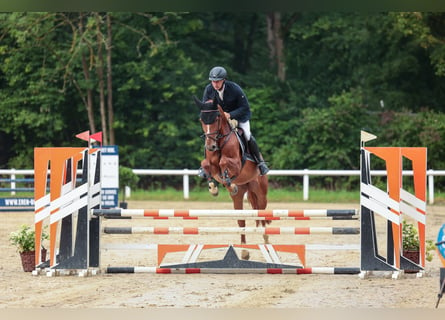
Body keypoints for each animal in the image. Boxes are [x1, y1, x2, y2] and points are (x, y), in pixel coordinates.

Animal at [194, 96, 270, 258]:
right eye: (201, 119)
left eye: (216, 118)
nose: (210, 146)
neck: (219, 141)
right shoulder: (211, 164)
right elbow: (206, 166)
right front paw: (213, 188)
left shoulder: (236, 164)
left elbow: (224, 163)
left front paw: (228, 182)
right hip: (239, 197)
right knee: (241, 221)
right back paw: (244, 252)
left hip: (261, 193)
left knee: (262, 215)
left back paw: (266, 240)